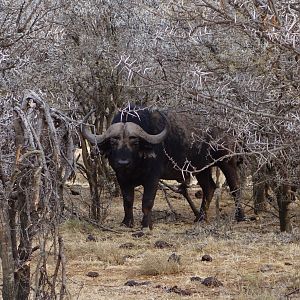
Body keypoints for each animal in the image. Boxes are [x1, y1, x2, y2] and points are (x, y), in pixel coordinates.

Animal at [81, 104, 245, 229]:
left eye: (135, 142)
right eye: (113, 142)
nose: (122, 163)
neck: (135, 164)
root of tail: (230, 127)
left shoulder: (152, 178)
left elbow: (147, 201)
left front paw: (146, 224)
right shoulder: (122, 178)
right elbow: (127, 201)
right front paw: (127, 223)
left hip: (227, 162)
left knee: (235, 187)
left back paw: (240, 217)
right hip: (201, 169)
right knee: (209, 187)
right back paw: (200, 218)